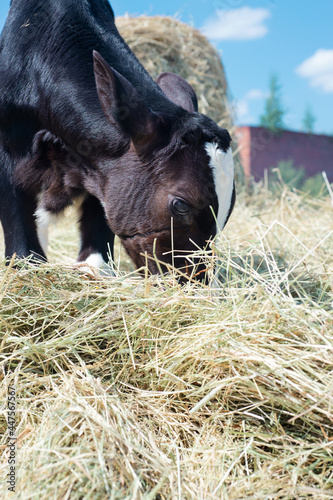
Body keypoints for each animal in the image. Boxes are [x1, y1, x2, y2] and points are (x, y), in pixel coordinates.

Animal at [0, 0, 235, 280]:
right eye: (181, 205)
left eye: (230, 207)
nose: (195, 282)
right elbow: (16, 214)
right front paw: (25, 265)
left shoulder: (98, 163)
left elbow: (99, 212)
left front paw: (95, 266)